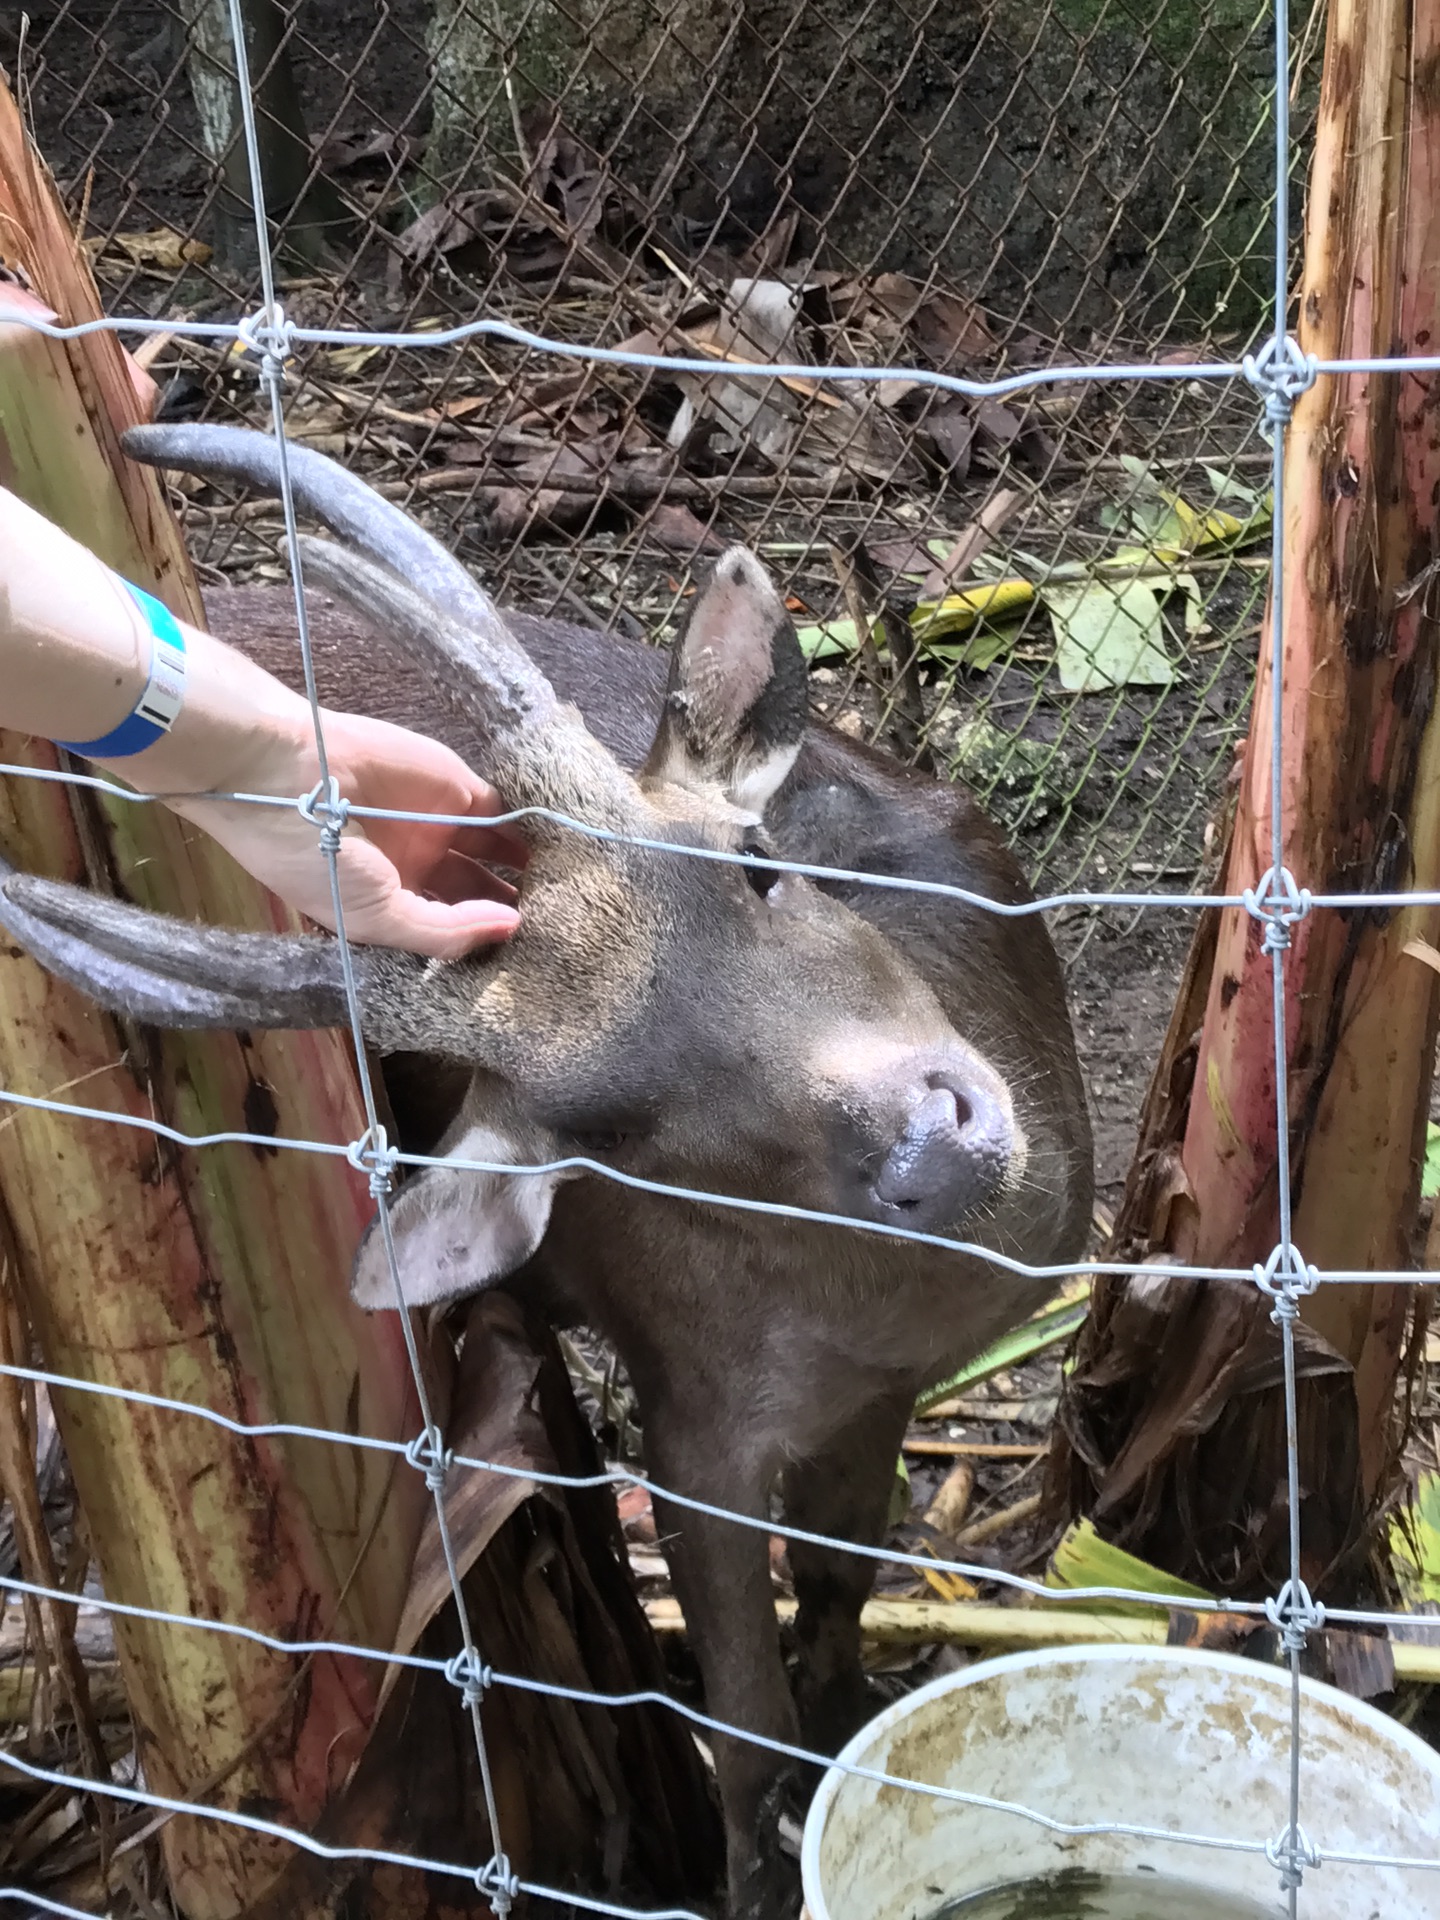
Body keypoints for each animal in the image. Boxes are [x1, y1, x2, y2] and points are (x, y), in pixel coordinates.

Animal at [2, 428, 1090, 1920]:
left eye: (759, 867)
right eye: (608, 1123)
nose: (937, 1143)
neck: (886, 1310)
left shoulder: (887, 1393)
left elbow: (839, 1590)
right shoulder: (694, 1415)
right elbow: (746, 1726)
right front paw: (758, 1871)